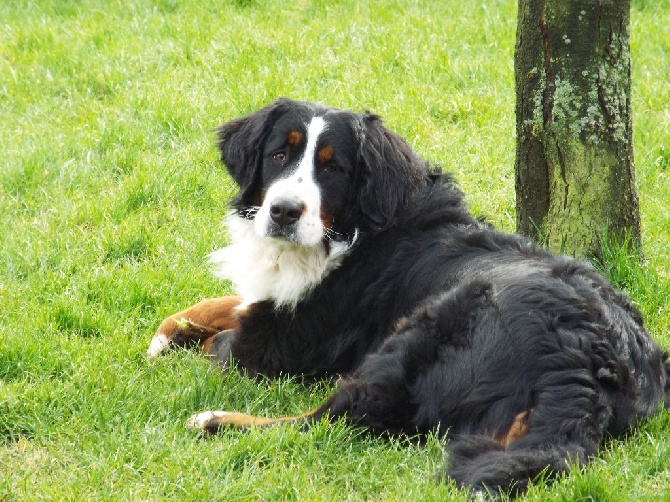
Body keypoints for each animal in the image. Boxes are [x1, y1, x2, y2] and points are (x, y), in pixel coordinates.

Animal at [148, 97, 670, 494]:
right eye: (279, 155)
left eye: (332, 168)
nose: (284, 212)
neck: (354, 230)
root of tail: (585, 357)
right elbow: (225, 303)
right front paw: (168, 333)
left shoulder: (272, 345)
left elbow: (227, 332)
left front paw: (180, 340)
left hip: (420, 335)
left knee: (338, 416)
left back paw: (214, 420)